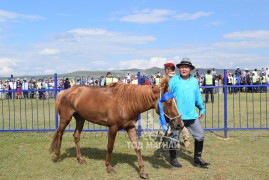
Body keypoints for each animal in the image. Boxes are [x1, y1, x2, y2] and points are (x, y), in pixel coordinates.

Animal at [49, 75, 183, 179]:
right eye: (169, 103)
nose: (179, 124)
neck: (127, 102)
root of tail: (65, 91)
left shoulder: (130, 127)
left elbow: (137, 147)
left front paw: (143, 172)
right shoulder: (113, 128)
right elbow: (110, 147)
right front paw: (109, 167)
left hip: (80, 118)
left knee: (76, 136)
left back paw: (80, 159)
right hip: (65, 118)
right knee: (60, 133)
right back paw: (55, 156)